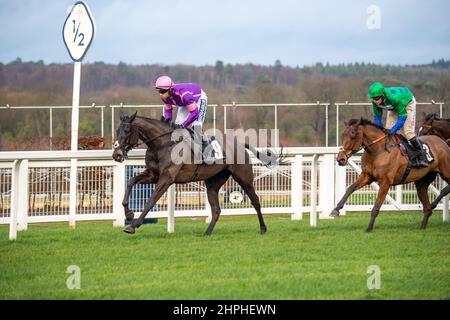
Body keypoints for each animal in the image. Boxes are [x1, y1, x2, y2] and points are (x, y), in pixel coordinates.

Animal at [111, 112, 282, 235]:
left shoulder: (167, 178)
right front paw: (128, 213)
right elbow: (130, 182)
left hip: (244, 178)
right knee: (216, 209)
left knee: (256, 201)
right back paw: (207, 233)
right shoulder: (153, 175)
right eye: (117, 130)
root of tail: (240, 145)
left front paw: (133, 226)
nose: (117, 154)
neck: (162, 144)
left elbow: (151, 200)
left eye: (127, 130)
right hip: (213, 183)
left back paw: (263, 228)